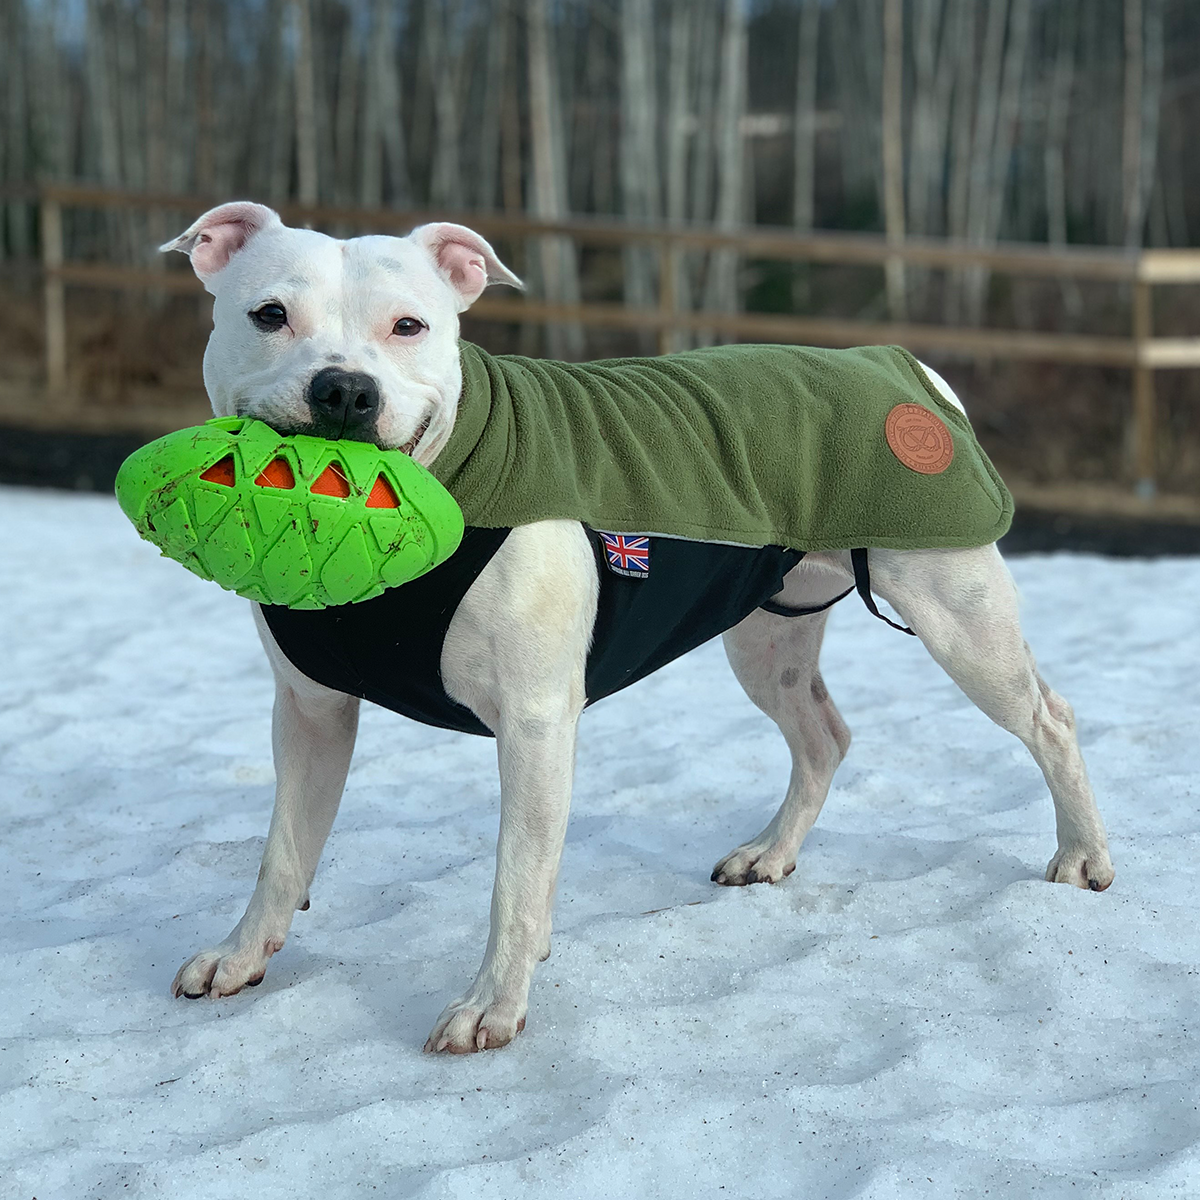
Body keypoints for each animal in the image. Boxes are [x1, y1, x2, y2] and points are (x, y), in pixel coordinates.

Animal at [159, 204, 1113, 1051]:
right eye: (269, 315)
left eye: (409, 326)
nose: (346, 389)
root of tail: (905, 367)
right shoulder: (311, 712)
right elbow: (284, 850)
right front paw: (241, 955)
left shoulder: (535, 723)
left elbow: (515, 878)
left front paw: (492, 1005)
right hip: (766, 636)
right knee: (823, 736)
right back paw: (771, 853)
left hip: (961, 618)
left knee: (1049, 719)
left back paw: (1082, 857)